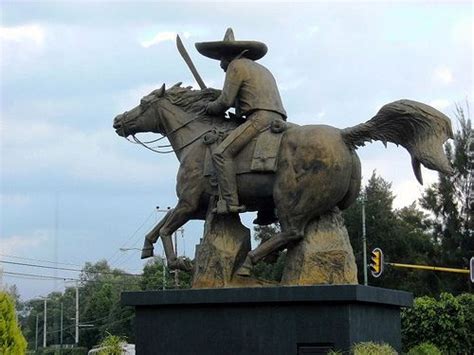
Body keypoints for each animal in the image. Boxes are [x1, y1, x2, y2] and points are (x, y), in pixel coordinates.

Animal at [113, 83, 454, 276]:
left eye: (143, 103)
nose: (118, 121)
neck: (197, 139)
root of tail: (344, 136)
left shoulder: (188, 203)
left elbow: (167, 228)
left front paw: (178, 264)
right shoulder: (196, 207)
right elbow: (160, 225)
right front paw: (147, 249)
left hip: (289, 199)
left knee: (292, 233)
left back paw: (249, 263)